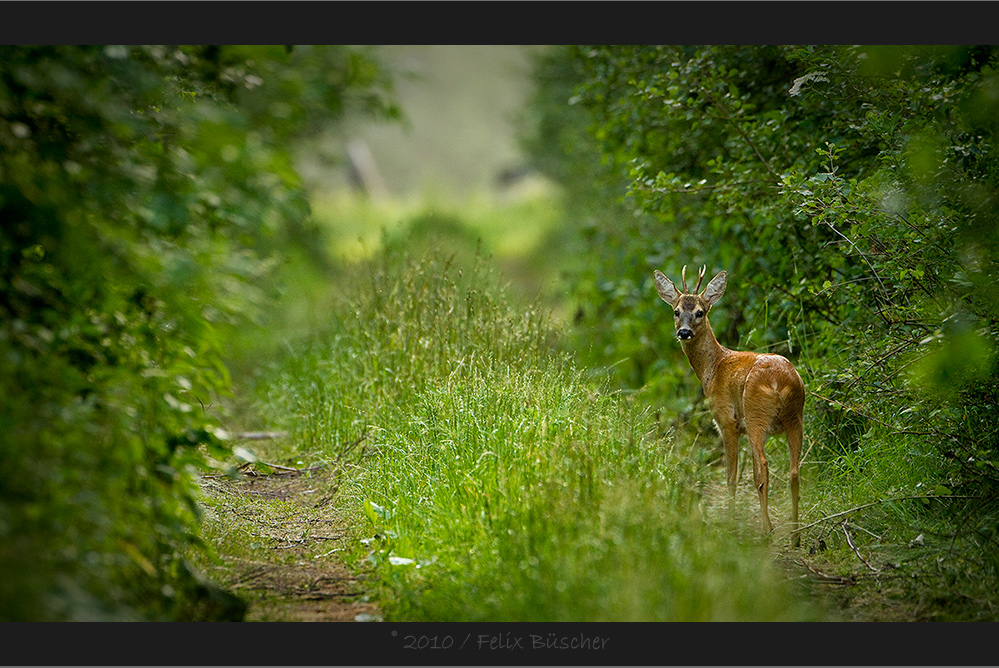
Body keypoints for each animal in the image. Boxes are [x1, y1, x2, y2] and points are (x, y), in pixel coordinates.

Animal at [652, 264, 808, 544]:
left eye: (700, 312)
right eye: (676, 311)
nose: (684, 332)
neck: (713, 367)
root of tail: (781, 382)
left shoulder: (727, 420)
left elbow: (731, 478)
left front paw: (731, 521)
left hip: (756, 414)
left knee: (763, 468)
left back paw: (767, 529)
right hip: (796, 417)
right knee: (793, 472)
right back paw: (795, 535)